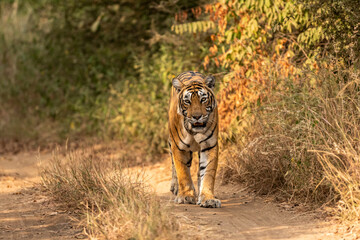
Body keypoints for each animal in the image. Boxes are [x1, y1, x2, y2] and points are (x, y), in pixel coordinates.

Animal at [167, 70, 221, 207]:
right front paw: (185, 196)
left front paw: (208, 198)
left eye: (203, 99)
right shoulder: (179, 147)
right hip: (171, 141)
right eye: (187, 101)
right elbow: (183, 173)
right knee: (173, 164)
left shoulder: (209, 145)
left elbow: (208, 173)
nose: (197, 116)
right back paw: (175, 187)